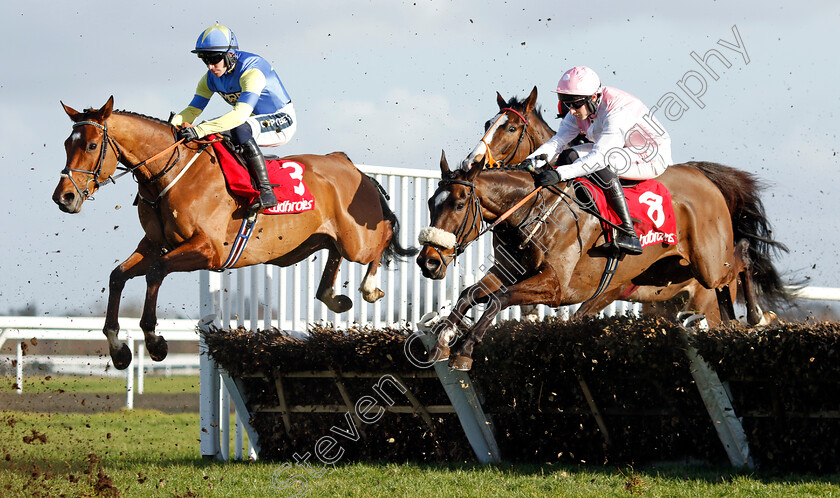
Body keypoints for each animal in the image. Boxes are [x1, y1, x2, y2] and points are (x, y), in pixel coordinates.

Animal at [52, 97, 414, 370]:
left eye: (92, 144)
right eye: (67, 145)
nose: (64, 197)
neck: (171, 176)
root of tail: (351, 167)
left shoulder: (208, 250)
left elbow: (155, 272)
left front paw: (154, 340)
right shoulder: (156, 244)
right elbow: (117, 276)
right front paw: (118, 349)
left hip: (357, 240)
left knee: (381, 240)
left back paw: (369, 287)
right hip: (316, 240)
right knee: (335, 251)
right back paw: (332, 295)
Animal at [416, 87, 792, 372]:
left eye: (459, 204)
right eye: (432, 202)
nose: (428, 261)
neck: (532, 209)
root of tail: (704, 176)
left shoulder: (557, 287)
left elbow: (499, 298)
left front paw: (464, 349)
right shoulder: (509, 270)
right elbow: (471, 293)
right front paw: (443, 339)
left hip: (709, 264)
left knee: (742, 258)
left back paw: (758, 316)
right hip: (670, 274)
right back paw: (732, 322)